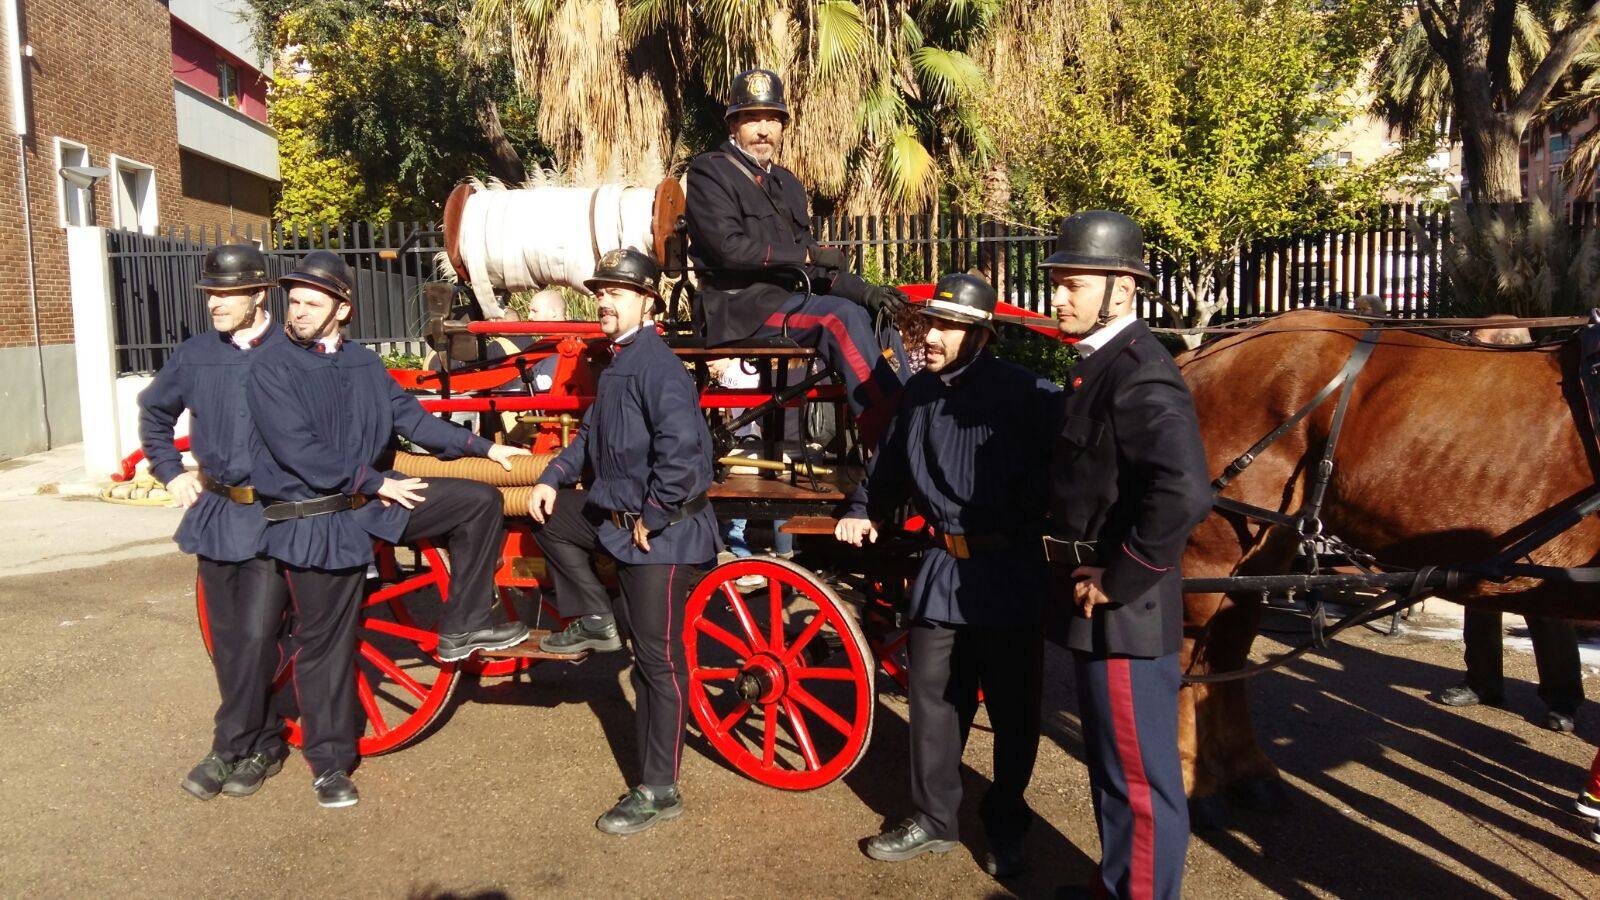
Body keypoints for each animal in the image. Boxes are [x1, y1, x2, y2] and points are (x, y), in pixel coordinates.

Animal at [1171, 312, 1593, 810]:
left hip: (1262, 549)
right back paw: (1189, 778)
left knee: (1224, 652)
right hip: (1213, 550)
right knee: (1189, 655)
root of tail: (1203, 352)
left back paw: (1246, 773)